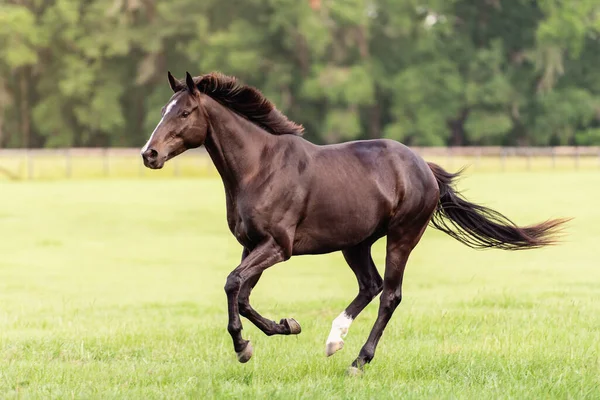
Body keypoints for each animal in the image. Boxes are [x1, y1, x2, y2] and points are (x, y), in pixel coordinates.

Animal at [139, 72, 568, 376]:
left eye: (184, 112)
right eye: (162, 110)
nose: (149, 154)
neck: (259, 167)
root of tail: (423, 167)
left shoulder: (278, 246)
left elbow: (232, 284)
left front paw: (244, 348)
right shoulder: (252, 244)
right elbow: (242, 294)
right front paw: (287, 326)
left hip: (401, 237)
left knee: (389, 295)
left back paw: (358, 361)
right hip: (355, 242)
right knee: (370, 285)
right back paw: (334, 341)